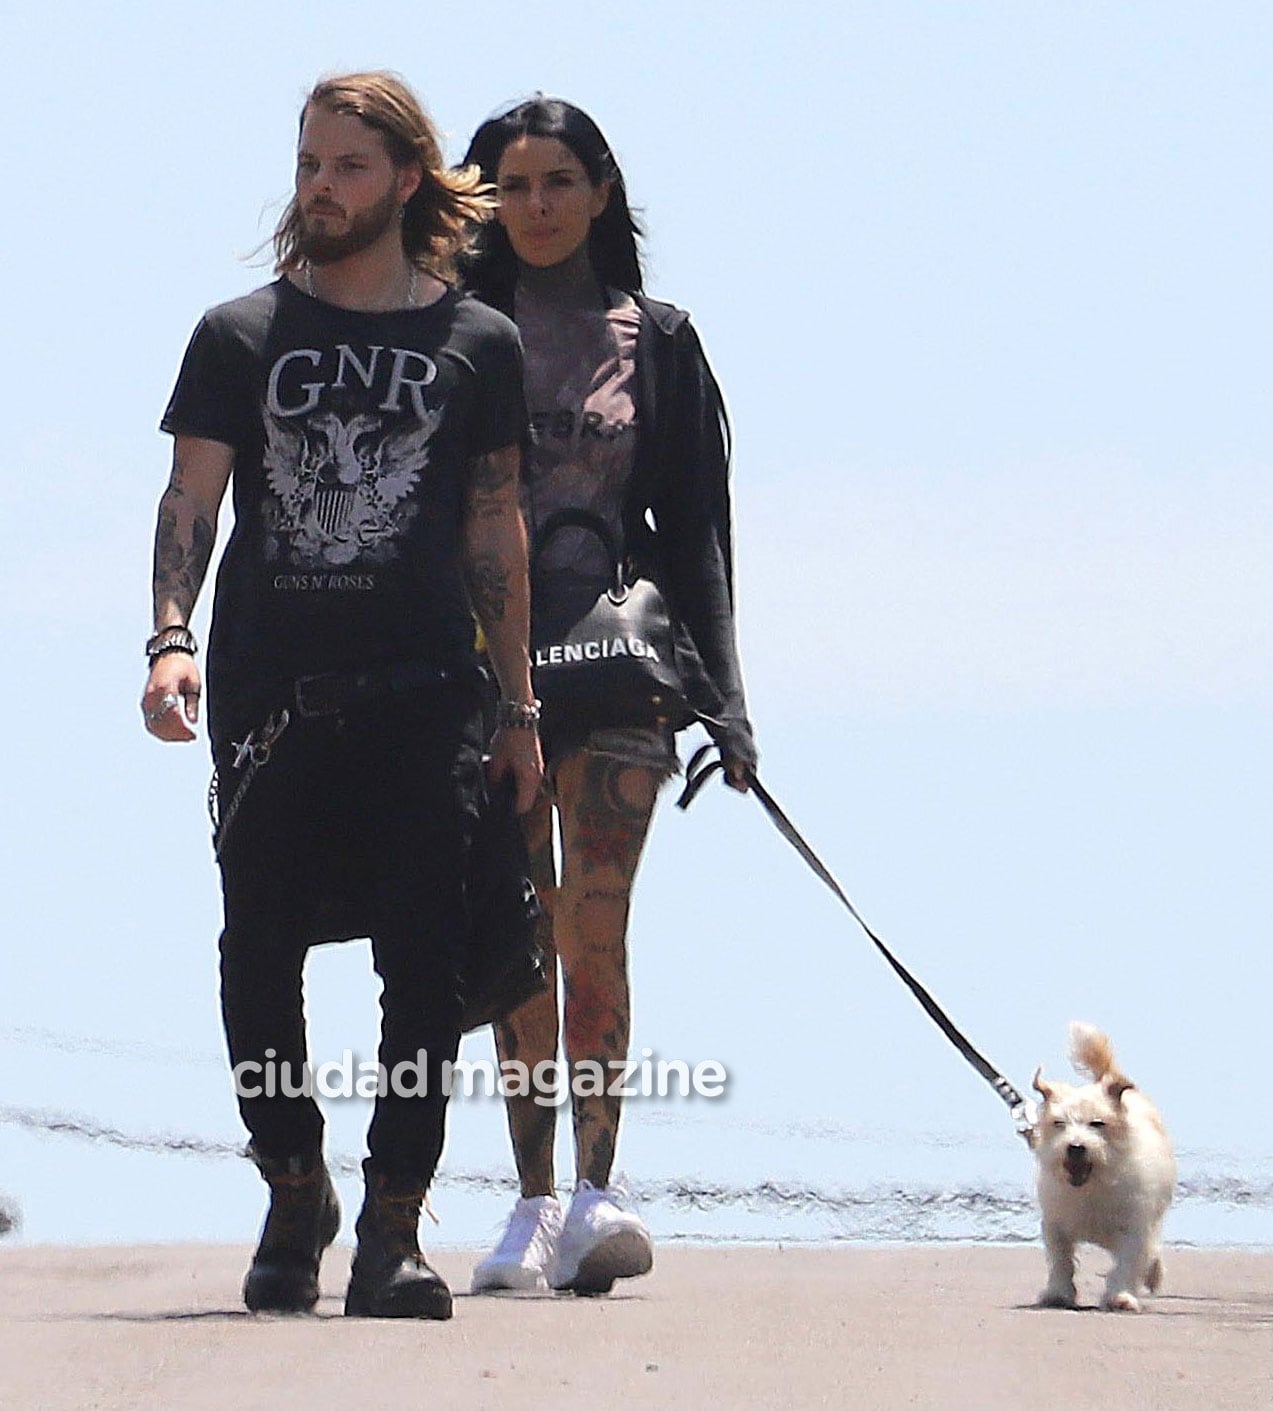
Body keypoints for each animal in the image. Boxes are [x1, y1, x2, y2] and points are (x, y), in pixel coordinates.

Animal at [1033, 1027, 1179, 1309]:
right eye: (1059, 1123)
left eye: (1097, 1123)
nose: (1076, 1147)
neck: (1094, 1184)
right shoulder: (1056, 1224)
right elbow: (1061, 1260)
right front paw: (1058, 1292)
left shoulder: (1134, 1228)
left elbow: (1128, 1262)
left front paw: (1120, 1296)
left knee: (1152, 1248)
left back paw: (1153, 1274)